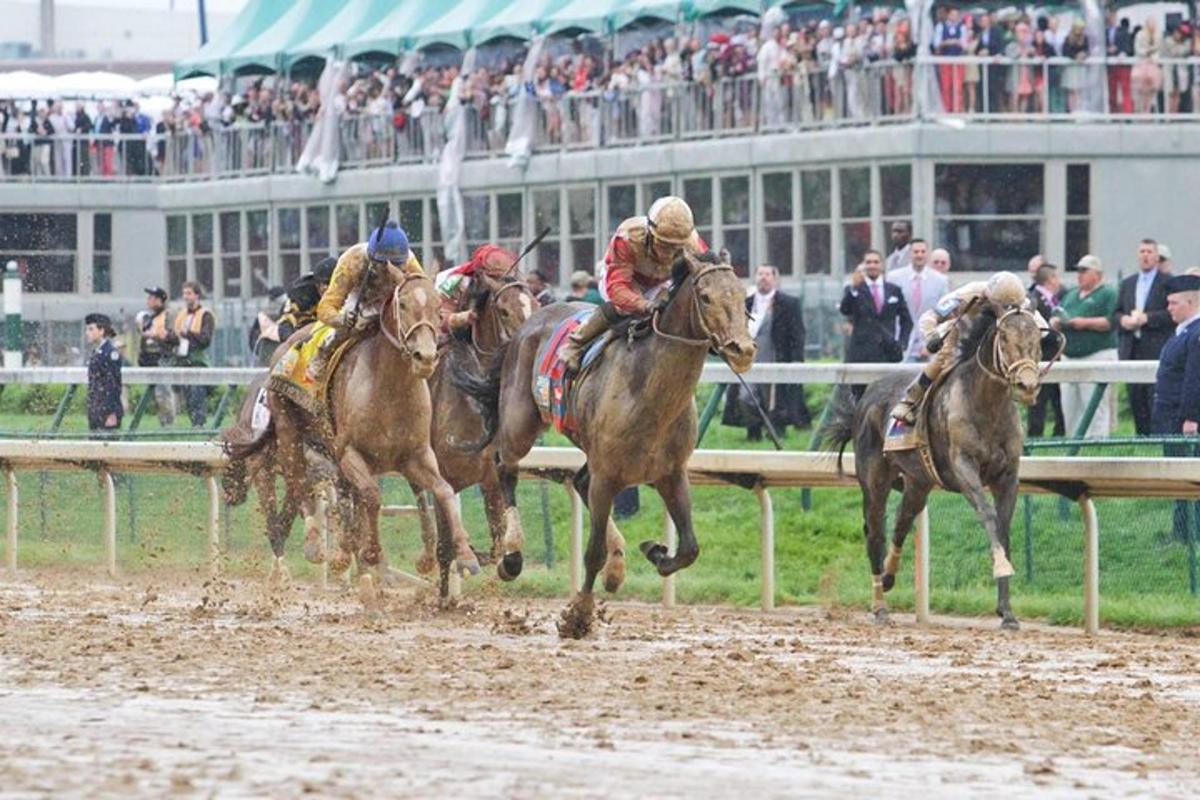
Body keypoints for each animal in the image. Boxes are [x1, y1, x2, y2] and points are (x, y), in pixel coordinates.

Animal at [226, 266, 480, 604]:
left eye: (439, 309)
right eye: (402, 305)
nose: (425, 357)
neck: (388, 390)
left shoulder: (416, 455)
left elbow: (442, 491)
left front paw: (464, 556)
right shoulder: (348, 454)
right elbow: (370, 497)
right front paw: (369, 554)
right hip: (283, 439)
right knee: (293, 490)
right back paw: (311, 548)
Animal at [453, 253, 753, 642]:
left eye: (742, 296)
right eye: (705, 296)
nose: (742, 349)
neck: (651, 392)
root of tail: (529, 320)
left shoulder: (671, 474)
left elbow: (689, 548)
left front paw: (655, 550)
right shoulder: (607, 475)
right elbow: (591, 552)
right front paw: (578, 615)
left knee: (578, 480)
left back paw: (616, 566)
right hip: (521, 422)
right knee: (505, 467)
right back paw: (513, 556)